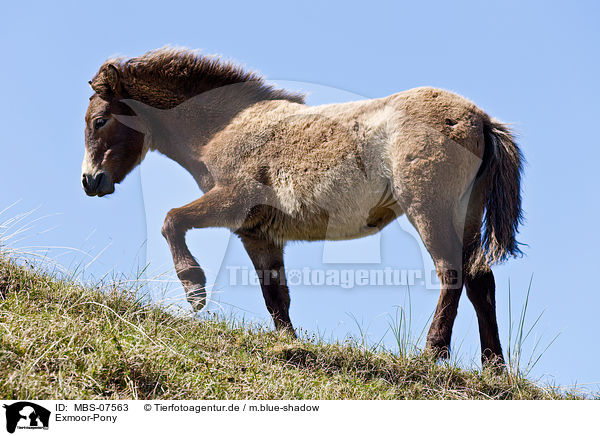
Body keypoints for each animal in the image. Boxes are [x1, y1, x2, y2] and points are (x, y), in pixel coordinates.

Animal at [82, 46, 524, 364]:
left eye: (99, 120)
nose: (90, 181)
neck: (223, 128)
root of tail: (481, 120)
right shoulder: (258, 233)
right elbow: (276, 296)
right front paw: (290, 346)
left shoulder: (233, 202)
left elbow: (171, 220)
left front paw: (194, 288)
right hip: (466, 216)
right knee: (480, 279)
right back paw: (494, 368)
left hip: (428, 209)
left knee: (451, 271)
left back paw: (432, 352)